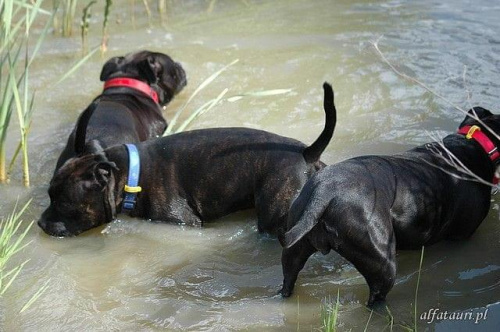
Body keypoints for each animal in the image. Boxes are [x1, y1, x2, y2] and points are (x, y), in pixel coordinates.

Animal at [282, 106, 500, 306]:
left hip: (293, 251)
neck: (476, 142)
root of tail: (323, 193)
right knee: (376, 297)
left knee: (288, 280)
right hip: (382, 264)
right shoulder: (461, 237)